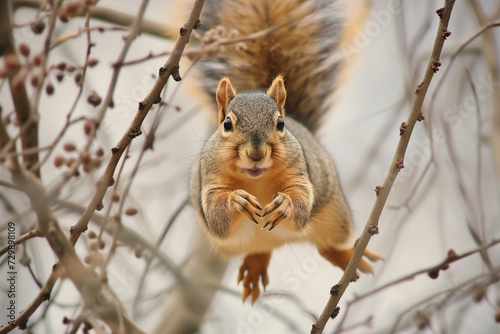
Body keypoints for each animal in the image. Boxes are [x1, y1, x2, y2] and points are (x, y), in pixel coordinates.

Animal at [189, 0, 380, 302]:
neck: (255, 180)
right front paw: (237, 200)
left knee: (326, 246)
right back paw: (255, 266)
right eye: (227, 124)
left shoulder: (300, 174)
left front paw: (285, 204)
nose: (256, 153)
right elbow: (217, 214)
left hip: (334, 219)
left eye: (280, 124)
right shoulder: (209, 183)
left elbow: (301, 200)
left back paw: (350, 256)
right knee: (259, 250)